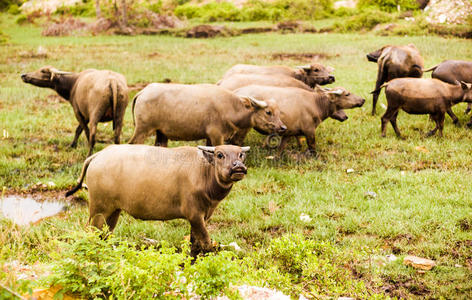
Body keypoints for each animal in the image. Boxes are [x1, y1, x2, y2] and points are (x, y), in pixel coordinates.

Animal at [66, 145, 251, 255]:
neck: (204, 173)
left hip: (113, 210)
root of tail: (98, 155)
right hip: (99, 209)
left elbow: (195, 243)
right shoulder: (194, 215)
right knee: (91, 231)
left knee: (105, 234)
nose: (238, 167)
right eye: (220, 154)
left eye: (241, 154)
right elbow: (206, 242)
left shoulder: (202, 217)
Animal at [127, 83, 286, 146]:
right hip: (142, 129)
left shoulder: (209, 137)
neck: (230, 108)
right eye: (268, 112)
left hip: (161, 133)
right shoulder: (217, 135)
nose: (283, 127)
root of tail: (142, 92)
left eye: (279, 112)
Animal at [232, 84, 366, 151]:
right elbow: (312, 147)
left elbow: (283, 148)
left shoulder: (289, 132)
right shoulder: (309, 130)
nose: (363, 100)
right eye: (347, 94)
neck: (314, 103)